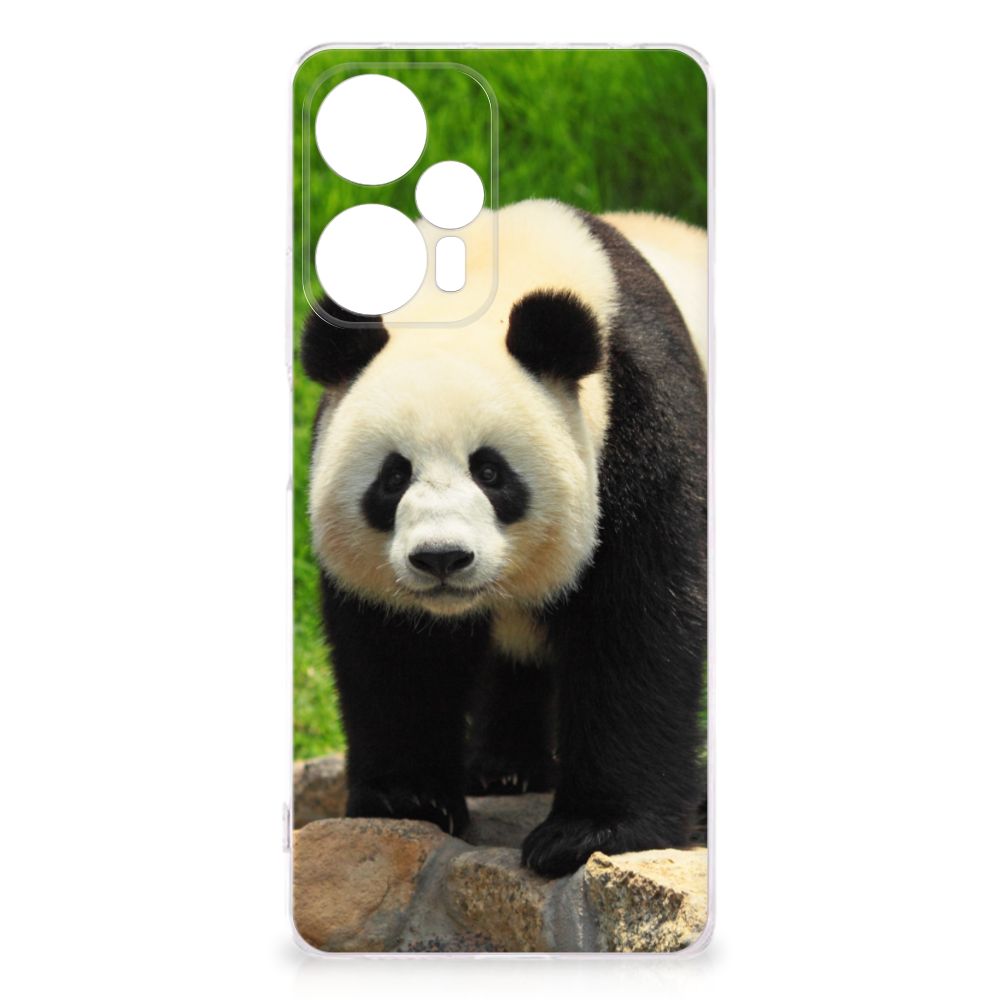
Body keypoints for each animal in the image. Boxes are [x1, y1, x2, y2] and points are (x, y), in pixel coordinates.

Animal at [302, 199, 707, 877]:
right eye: (393, 476)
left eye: (490, 472)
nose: (442, 558)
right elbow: (396, 649)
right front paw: (408, 799)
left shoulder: (641, 420)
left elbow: (639, 623)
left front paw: (588, 832)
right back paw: (504, 769)